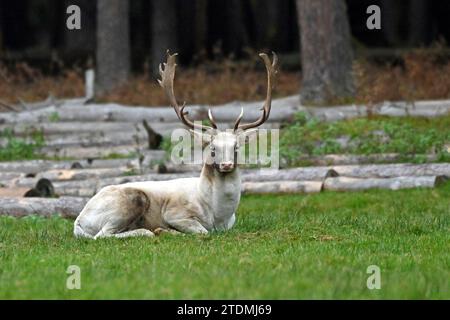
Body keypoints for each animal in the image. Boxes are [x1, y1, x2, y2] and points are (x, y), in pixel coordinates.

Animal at [74, 51, 278, 239]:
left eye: (236, 147)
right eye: (213, 148)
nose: (226, 165)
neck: (218, 216)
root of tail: (78, 222)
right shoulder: (175, 214)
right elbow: (203, 232)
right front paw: (166, 230)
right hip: (128, 202)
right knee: (103, 235)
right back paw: (149, 231)